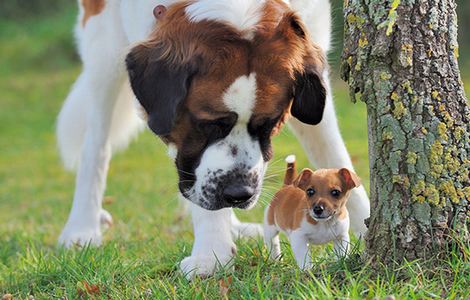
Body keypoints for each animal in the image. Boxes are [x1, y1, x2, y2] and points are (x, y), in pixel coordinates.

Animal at [56, 0, 370, 278]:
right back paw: (82, 227)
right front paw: (212, 255)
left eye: (268, 124)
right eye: (208, 124)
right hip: (103, 50)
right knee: (96, 143)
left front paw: (364, 222)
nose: (238, 194)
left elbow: (332, 152)